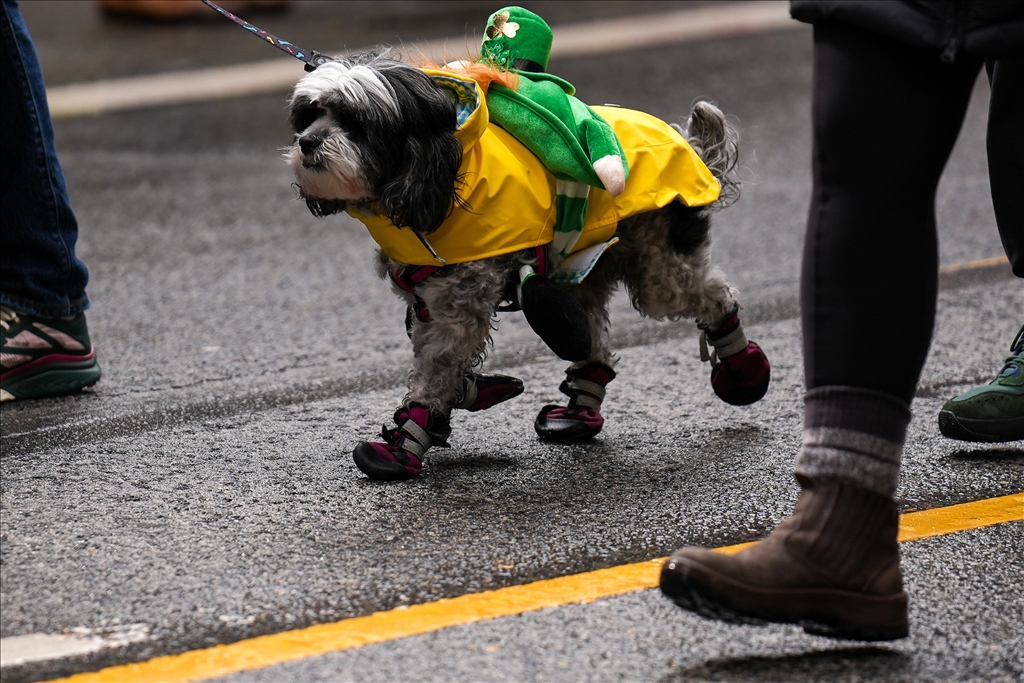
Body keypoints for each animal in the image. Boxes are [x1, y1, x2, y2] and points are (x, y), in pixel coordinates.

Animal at [286, 50, 770, 481]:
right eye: (309, 114)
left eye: (357, 123)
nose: (307, 142)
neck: (442, 170)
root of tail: (689, 145)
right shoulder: (426, 298)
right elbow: (440, 363)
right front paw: (455, 404)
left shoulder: (460, 301)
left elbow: (438, 367)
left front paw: (406, 441)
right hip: (582, 265)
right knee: (589, 336)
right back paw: (577, 412)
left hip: (657, 259)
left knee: (710, 298)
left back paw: (743, 368)